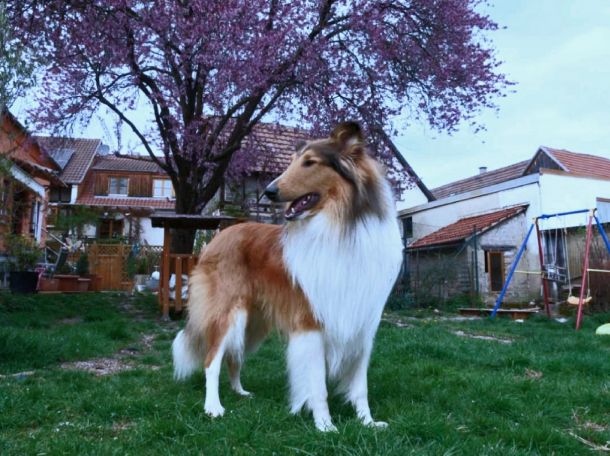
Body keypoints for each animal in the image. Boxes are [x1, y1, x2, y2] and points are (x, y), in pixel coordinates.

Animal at [172, 121, 403, 431]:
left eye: (310, 163)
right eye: (293, 161)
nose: (269, 191)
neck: (341, 227)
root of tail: (218, 236)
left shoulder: (362, 324)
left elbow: (359, 385)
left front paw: (368, 422)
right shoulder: (311, 322)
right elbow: (317, 385)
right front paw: (325, 426)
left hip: (254, 323)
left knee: (234, 356)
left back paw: (240, 391)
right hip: (228, 313)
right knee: (212, 360)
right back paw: (213, 407)